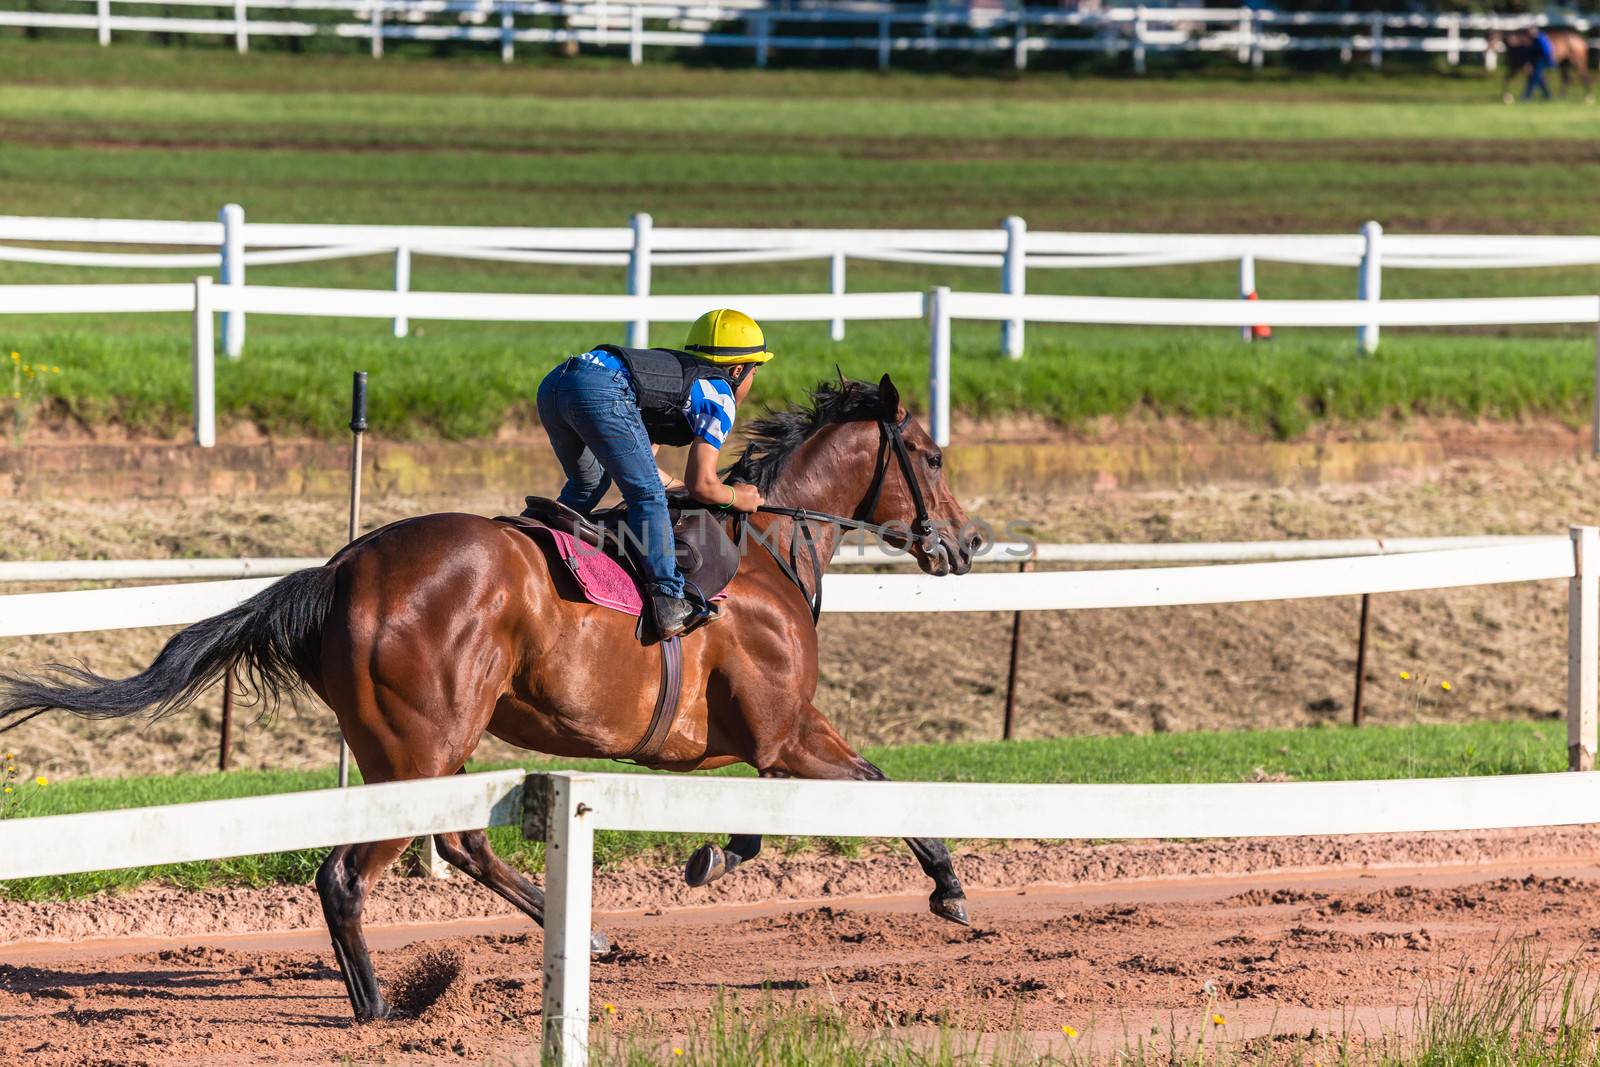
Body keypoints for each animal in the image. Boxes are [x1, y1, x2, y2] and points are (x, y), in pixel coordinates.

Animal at [0, 374, 979, 1023]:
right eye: (932, 454)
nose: (968, 543)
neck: (769, 545)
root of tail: (339, 570)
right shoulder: (780, 733)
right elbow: (877, 783)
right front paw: (948, 887)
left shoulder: (766, 737)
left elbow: (794, 805)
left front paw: (714, 857)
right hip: (423, 743)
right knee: (349, 874)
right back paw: (382, 1008)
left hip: (421, 741)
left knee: (459, 840)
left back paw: (579, 938)